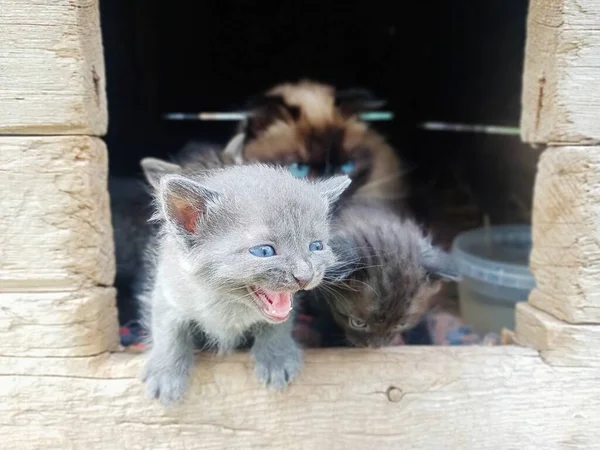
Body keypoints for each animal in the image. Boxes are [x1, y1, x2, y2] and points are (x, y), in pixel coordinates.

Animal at [138, 163, 350, 406]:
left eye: (316, 246)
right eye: (264, 251)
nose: (305, 275)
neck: (227, 306)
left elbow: (279, 324)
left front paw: (277, 359)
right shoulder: (166, 290)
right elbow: (168, 331)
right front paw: (166, 373)